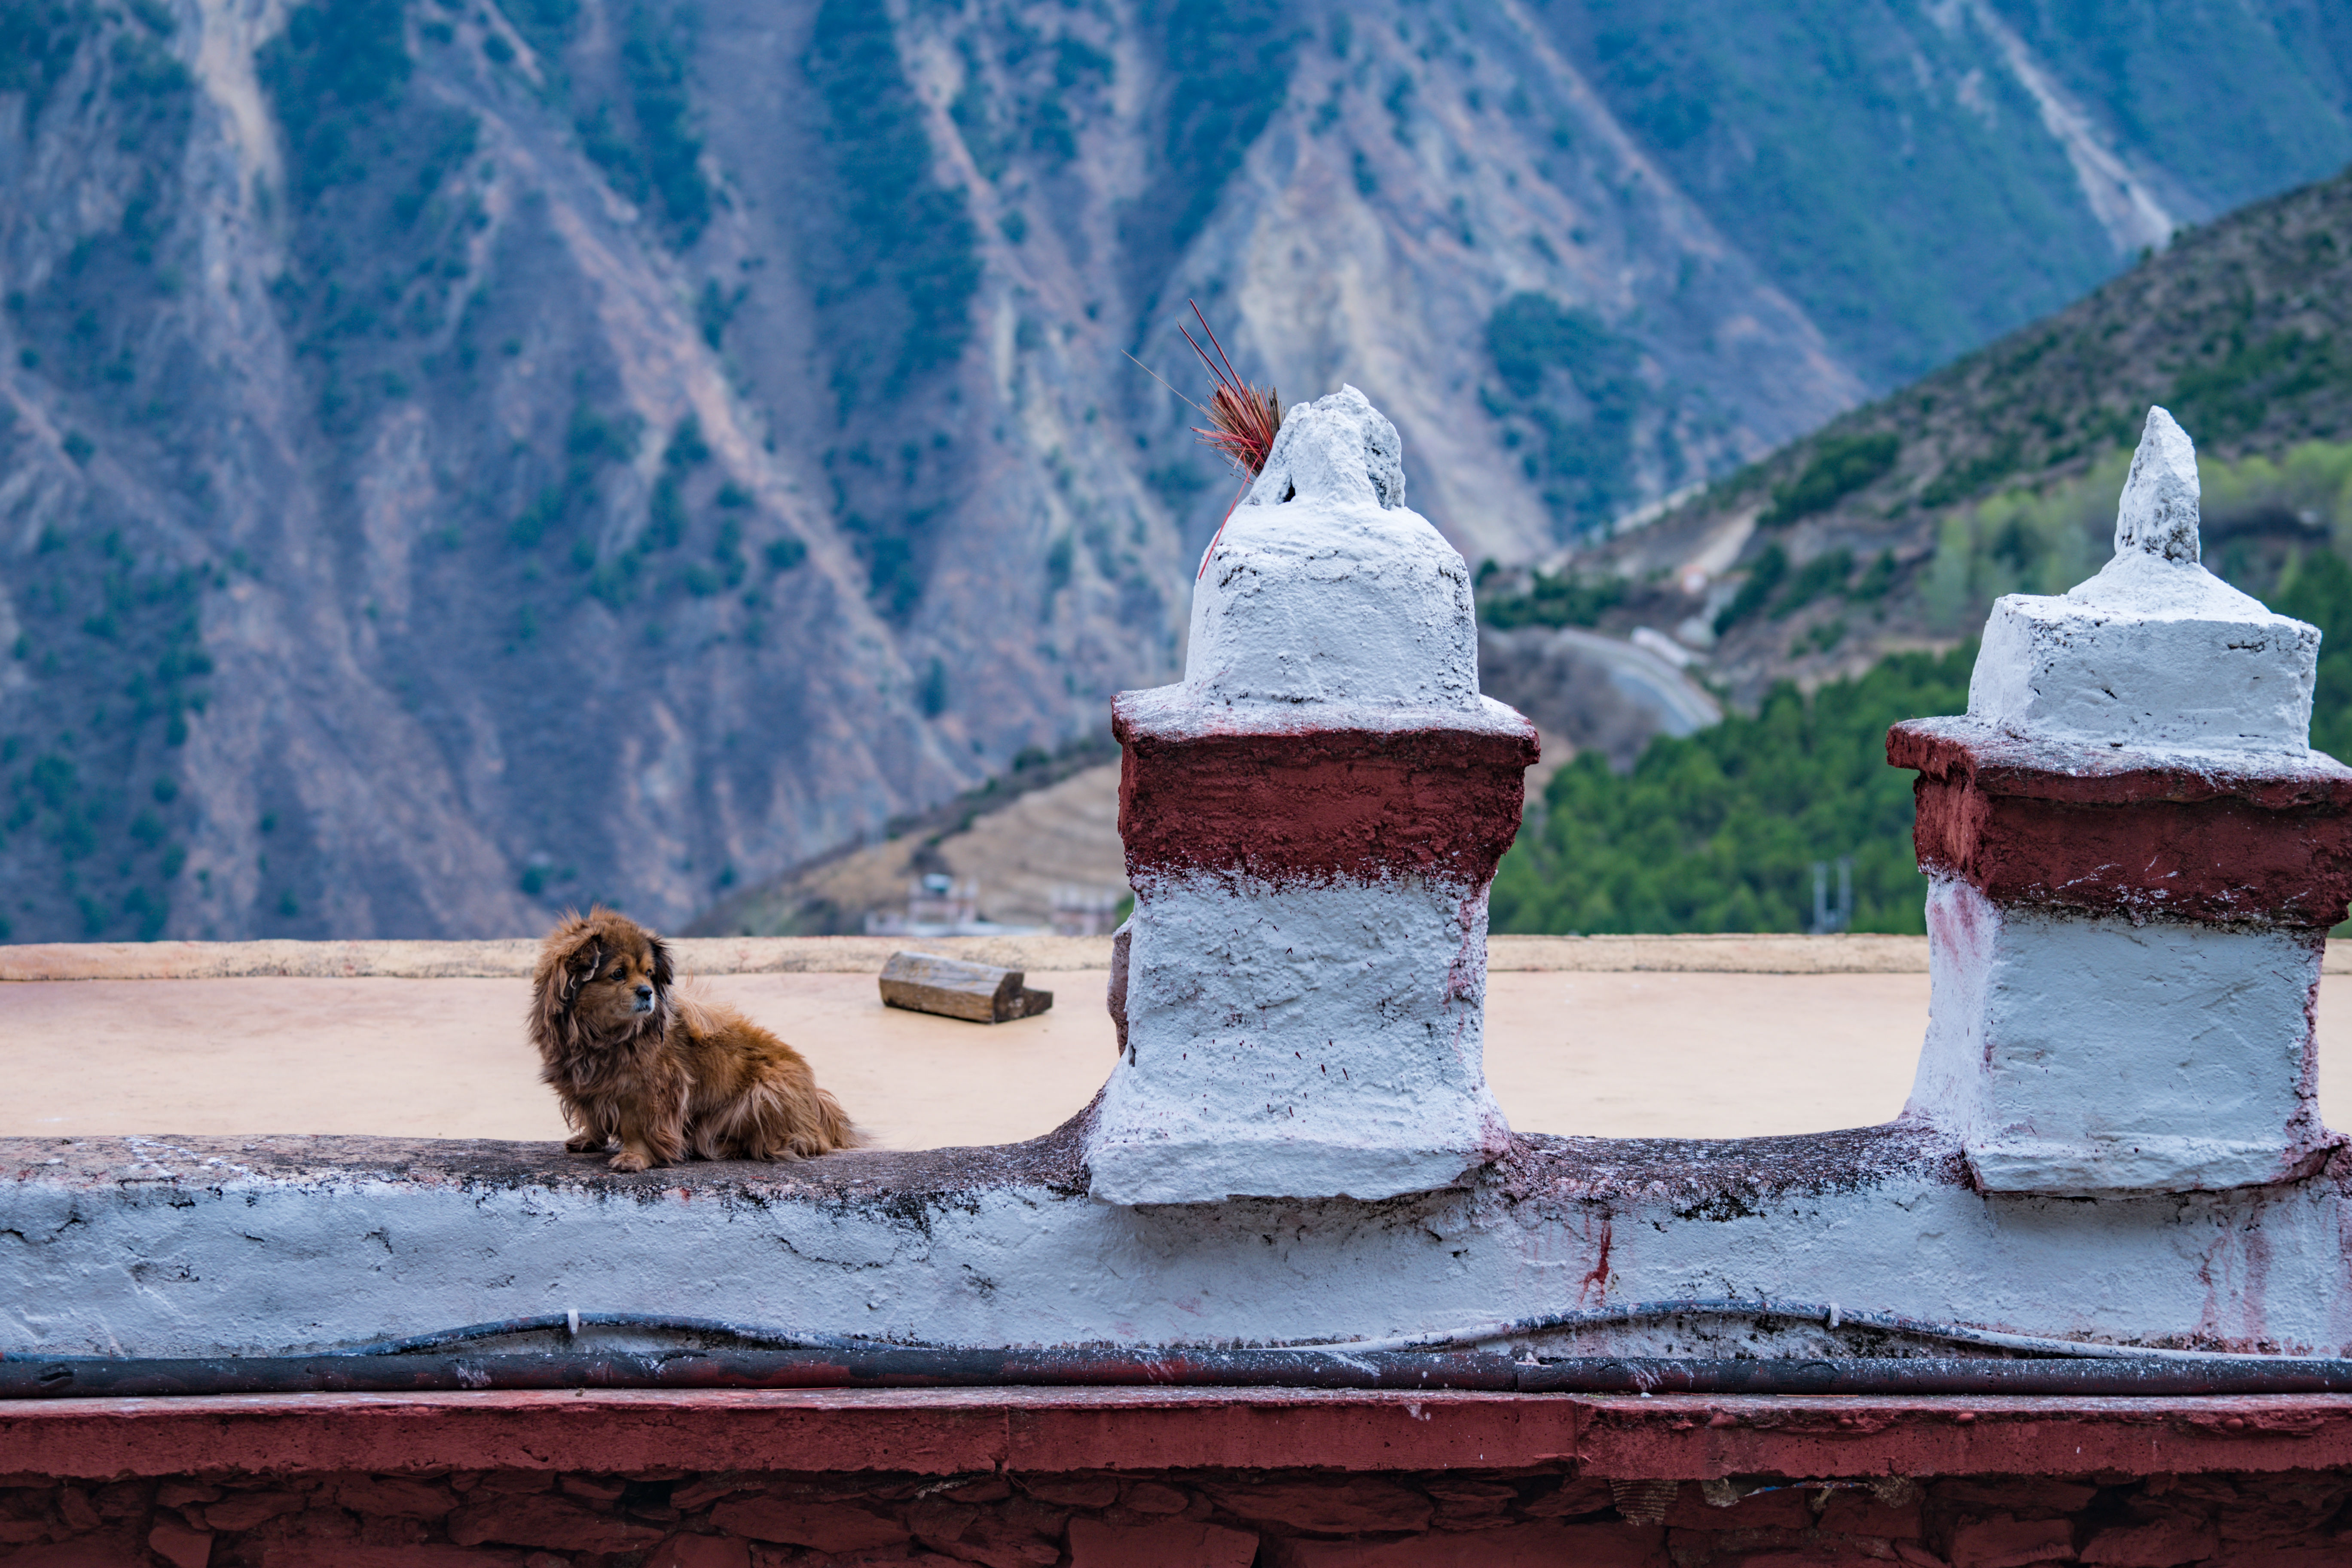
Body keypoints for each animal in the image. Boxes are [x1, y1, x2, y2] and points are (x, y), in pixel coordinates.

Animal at [534, 907, 865, 1166]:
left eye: (649, 973)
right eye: (618, 973)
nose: (647, 992)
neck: (601, 1037)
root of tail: (816, 1102)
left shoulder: (650, 1091)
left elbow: (636, 1128)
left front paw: (635, 1157)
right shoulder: (588, 1086)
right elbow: (592, 1115)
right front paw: (590, 1139)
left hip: (764, 1092)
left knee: (790, 1142)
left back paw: (720, 1145)